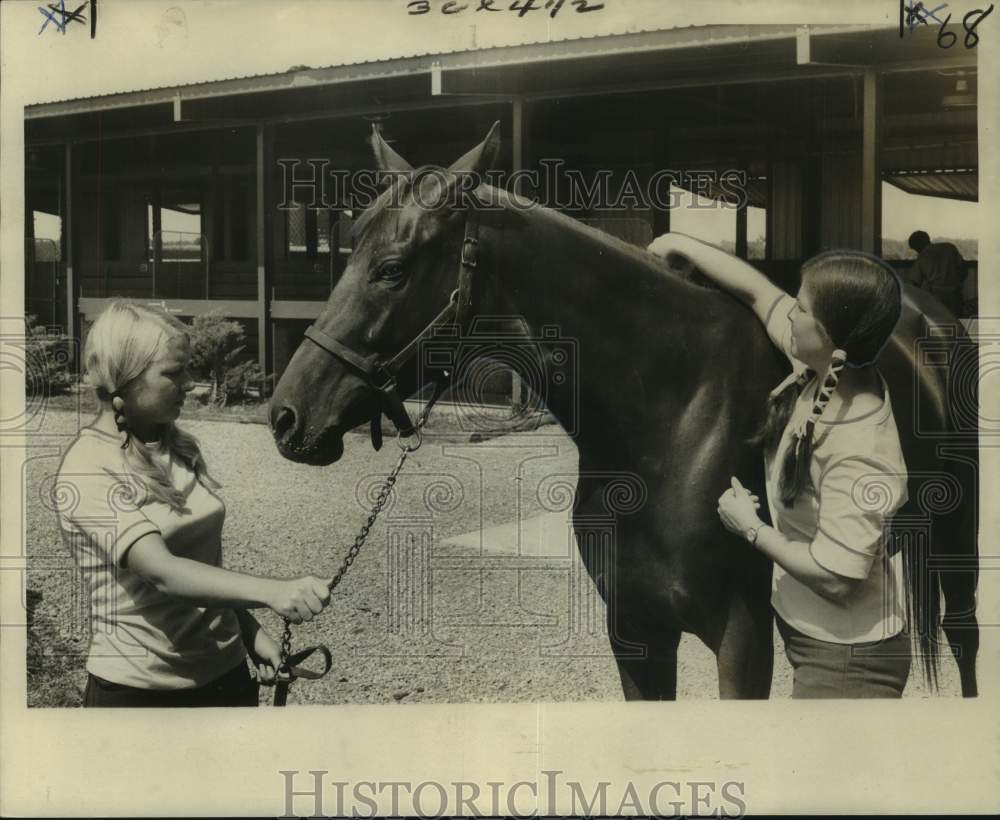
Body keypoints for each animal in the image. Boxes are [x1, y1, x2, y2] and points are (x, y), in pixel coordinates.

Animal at [266, 121, 976, 700]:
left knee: (963, 635)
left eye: (391, 268)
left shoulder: (742, 638)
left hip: (955, 532)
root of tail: (926, 313)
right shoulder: (636, 631)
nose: (287, 416)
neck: (669, 420)